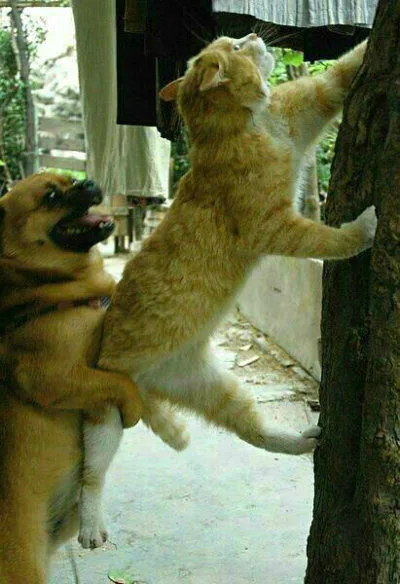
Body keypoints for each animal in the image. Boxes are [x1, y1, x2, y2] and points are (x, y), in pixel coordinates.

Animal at [0, 173, 143, 583]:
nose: (89, 181)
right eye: (50, 196)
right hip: (24, 565)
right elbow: (117, 382)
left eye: (70, 182)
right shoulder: (52, 379)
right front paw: (134, 406)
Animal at [79, 33, 376, 546]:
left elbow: (344, 67)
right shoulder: (275, 228)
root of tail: (153, 382)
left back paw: (298, 440)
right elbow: (328, 240)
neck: (248, 127)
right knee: (91, 474)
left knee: (249, 430)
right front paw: (363, 230)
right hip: (105, 415)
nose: (254, 35)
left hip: (215, 388)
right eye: (235, 45)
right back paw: (90, 524)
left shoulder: (314, 100)